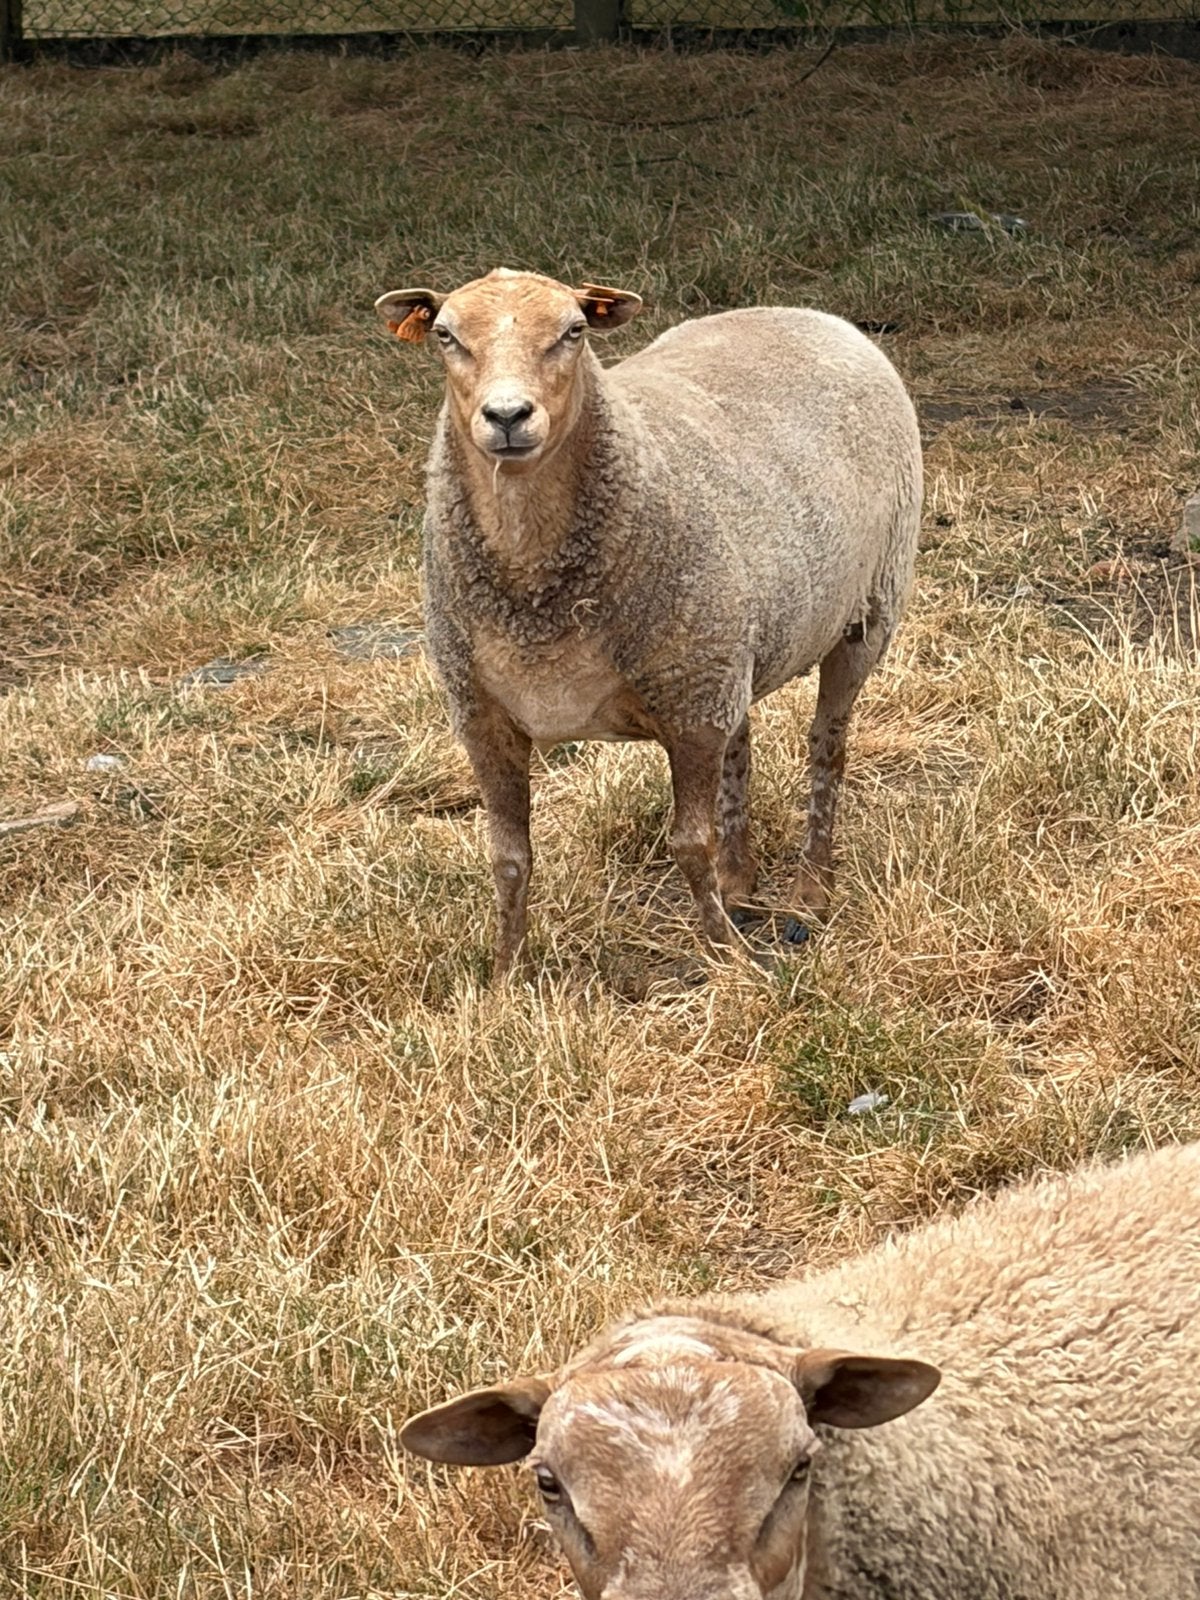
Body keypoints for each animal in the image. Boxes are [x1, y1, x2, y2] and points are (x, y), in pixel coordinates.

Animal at [374, 269, 922, 976]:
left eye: (574, 331)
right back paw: (739, 881)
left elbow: (689, 844)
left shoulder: (690, 708)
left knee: (827, 745)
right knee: (741, 744)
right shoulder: (482, 717)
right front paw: (504, 977)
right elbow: (509, 859)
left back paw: (809, 890)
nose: (507, 416)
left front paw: (728, 959)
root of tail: (807, 312)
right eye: (445, 335)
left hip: (866, 611)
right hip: (725, 643)